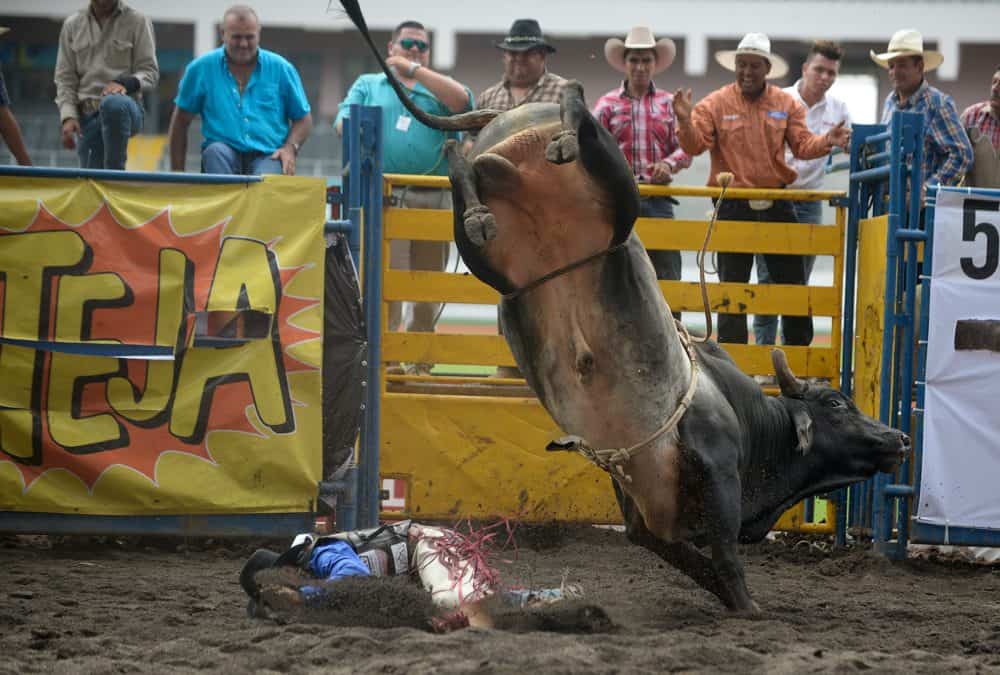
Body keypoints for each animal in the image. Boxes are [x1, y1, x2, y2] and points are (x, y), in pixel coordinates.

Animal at [340, 0, 912, 612]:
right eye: (837, 404)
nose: (899, 439)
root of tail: (514, 111)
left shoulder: (643, 516)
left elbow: (688, 557)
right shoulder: (717, 467)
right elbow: (726, 553)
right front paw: (749, 607)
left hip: (499, 263)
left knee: (462, 167)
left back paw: (478, 193)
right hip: (620, 190)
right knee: (573, 119)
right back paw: (568, 116)